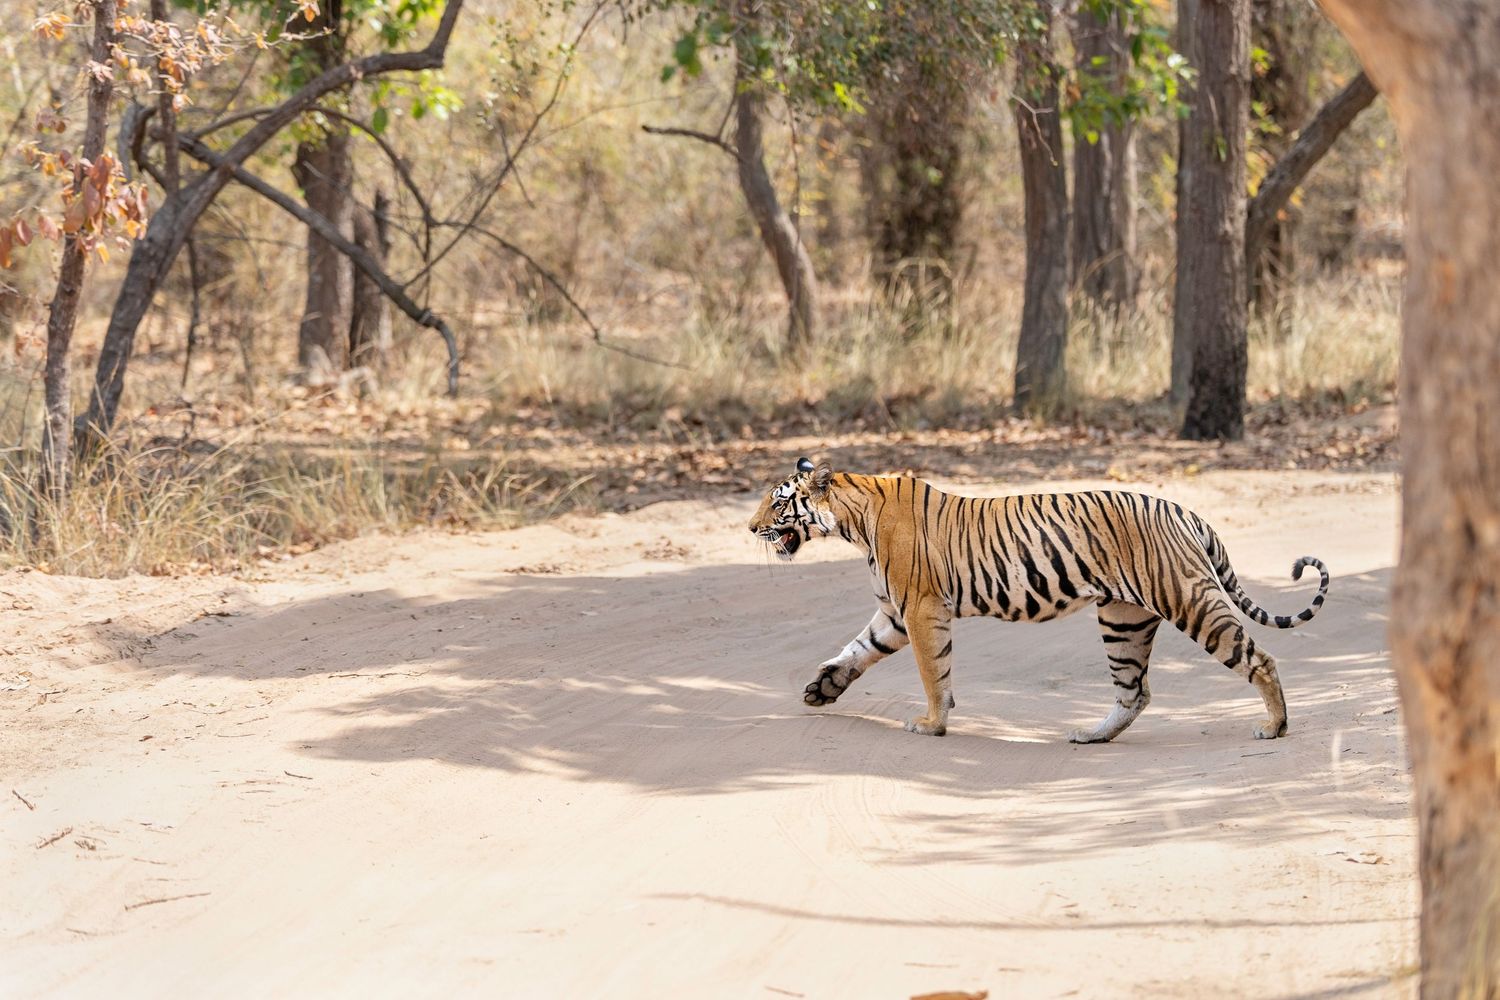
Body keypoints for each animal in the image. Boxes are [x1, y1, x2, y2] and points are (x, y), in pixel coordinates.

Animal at [747, 457, 1329, 741]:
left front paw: (933, 724)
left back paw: (1274, 727)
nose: (749, 528)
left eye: (777, 503)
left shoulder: (921, 609)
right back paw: (1091, 737)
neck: (854, 521)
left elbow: (933, 673)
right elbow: (857, 650)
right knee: (1134, 691)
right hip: (1123, 619)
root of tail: (1184, 510)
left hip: (1189, 599)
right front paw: (822, 689)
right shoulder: (894, 613)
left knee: (1259, 658)